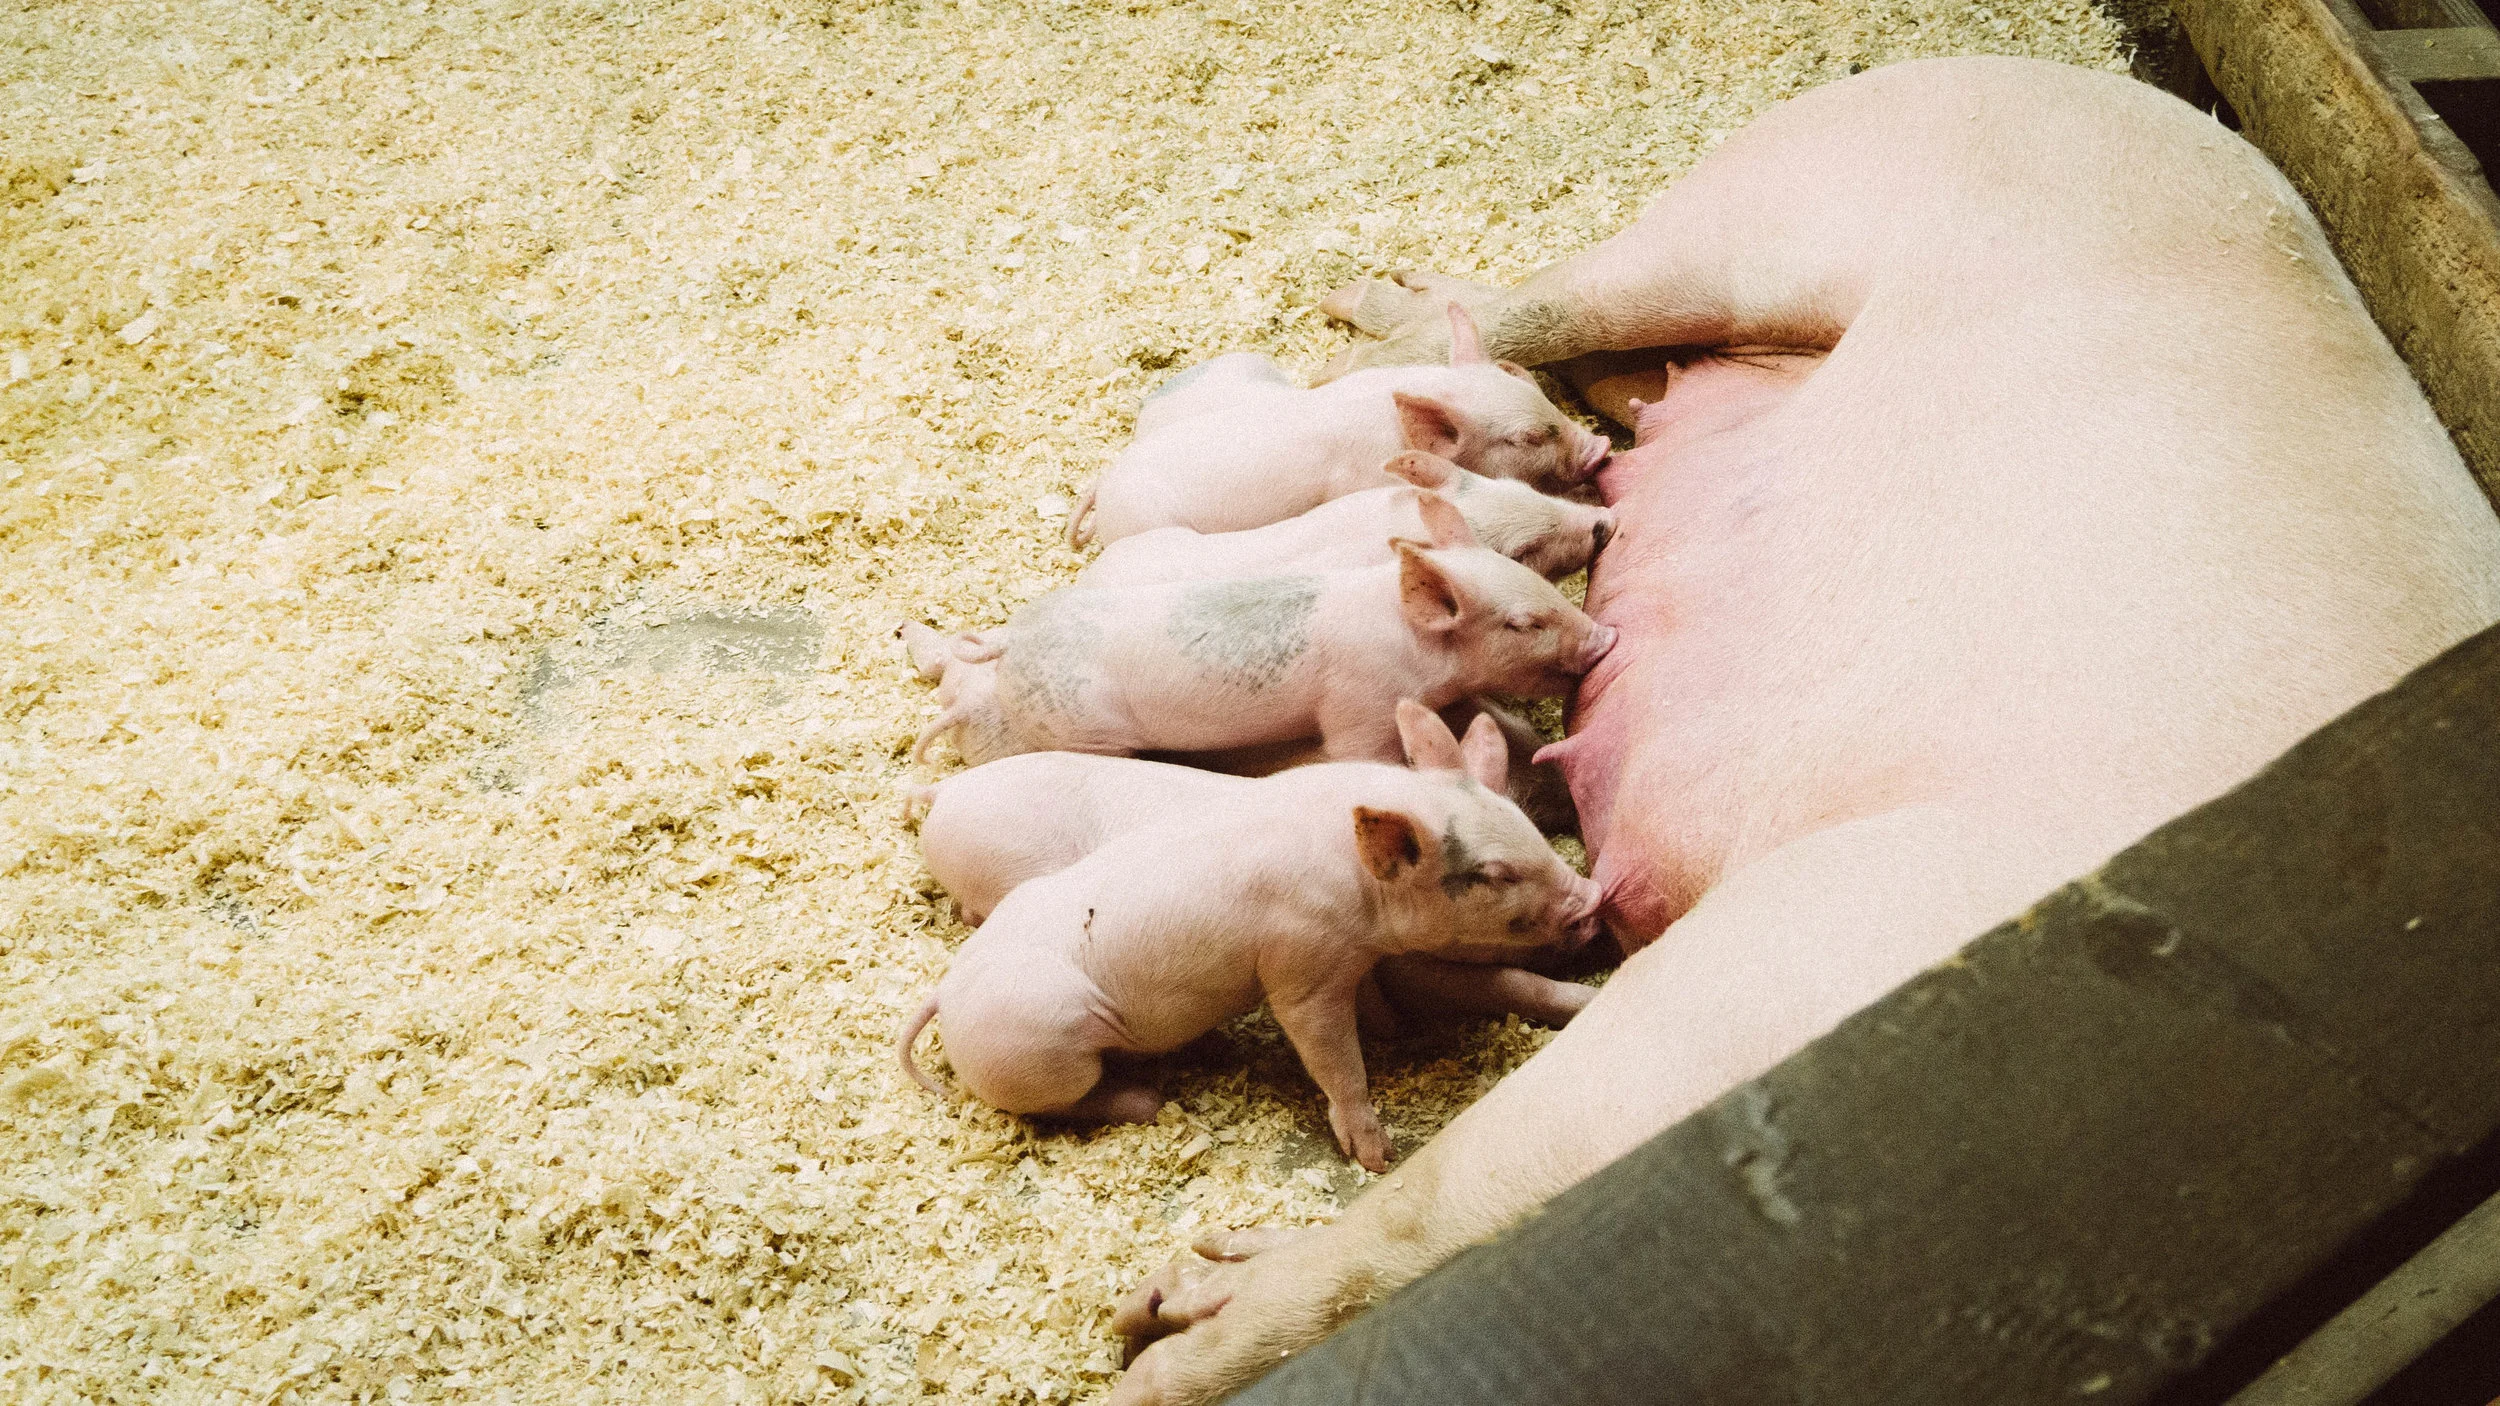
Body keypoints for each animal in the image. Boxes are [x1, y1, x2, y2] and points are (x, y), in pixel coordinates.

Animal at [894, 703, 1608, 1171]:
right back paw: (1147, 1099)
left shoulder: (1353, 961)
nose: (1593, 899)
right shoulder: (1299, 969)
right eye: (1493, 874)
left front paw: (1392, 1033)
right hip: (1047, 1053)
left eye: (1527, 826)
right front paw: (1378, 1157)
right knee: (1059, 1104)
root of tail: (944, 996)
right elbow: (1337, 1059)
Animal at [902, 541, 1615, 767]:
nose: (1605, 637)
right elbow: (1361, 754)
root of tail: (1012, 641)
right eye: (1523, 622)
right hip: (1087, 732)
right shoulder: (1356, 706)